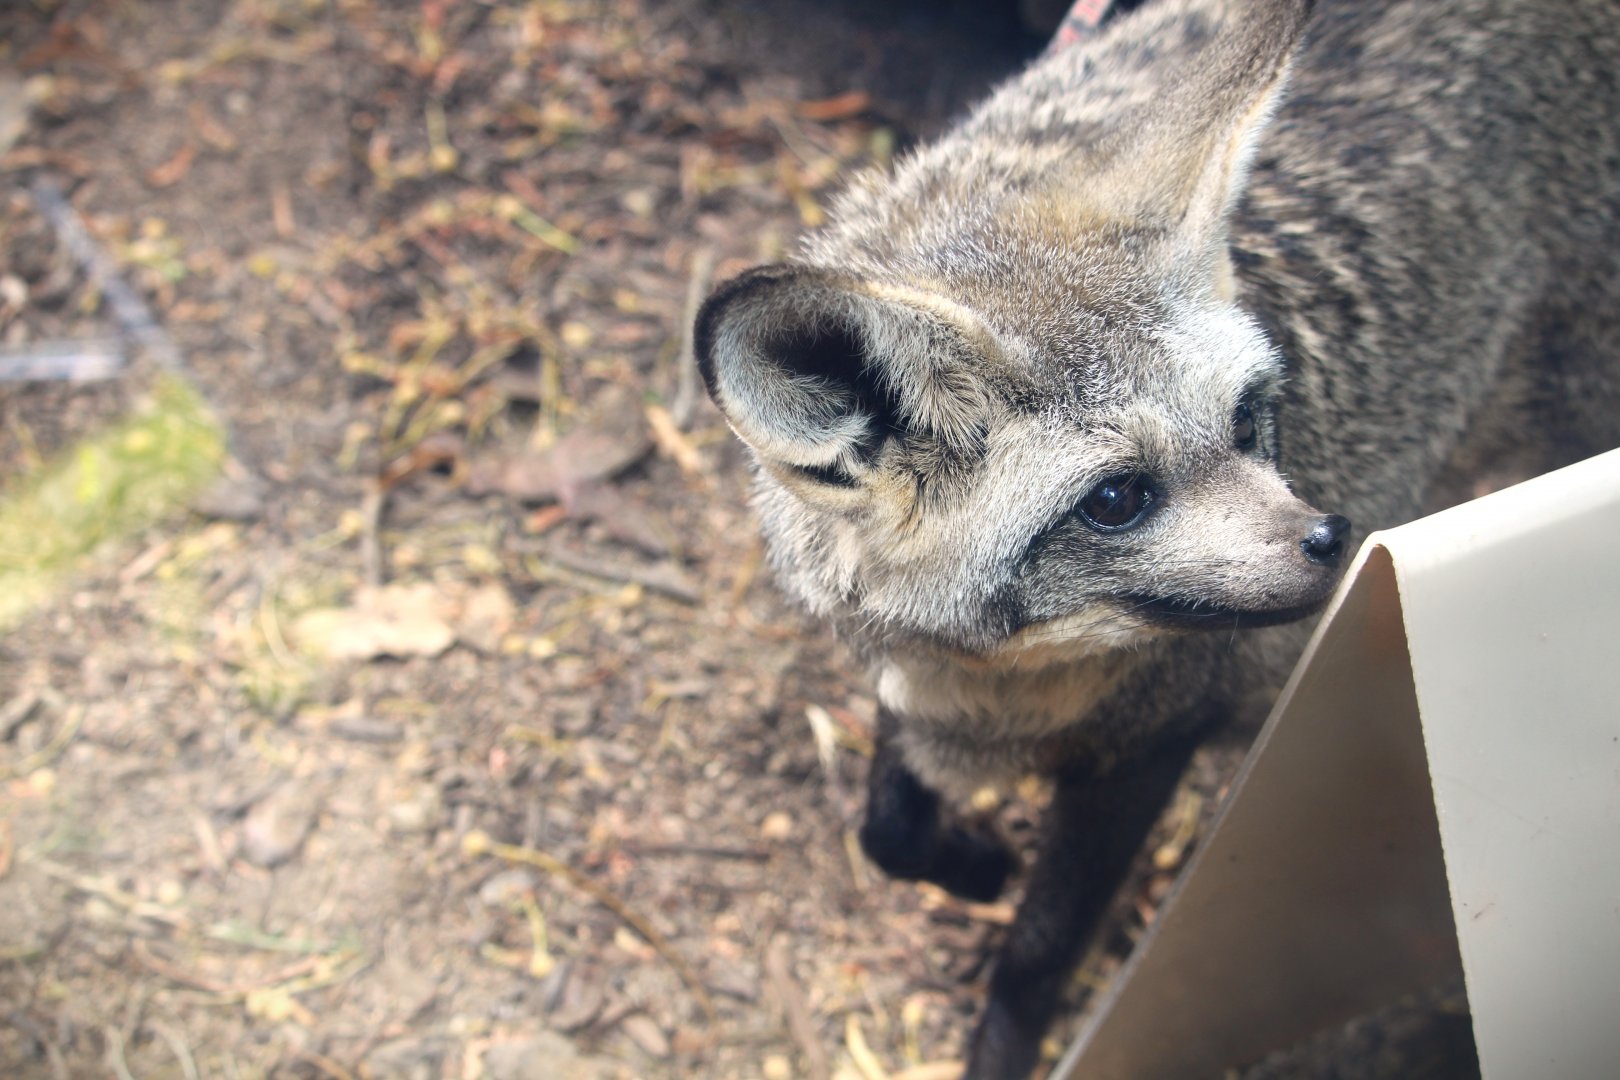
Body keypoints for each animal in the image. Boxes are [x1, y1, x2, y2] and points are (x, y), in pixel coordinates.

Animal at [695, 1, 1620, 1077]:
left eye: (1247, 419)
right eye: (1117, 498)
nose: (1331, 537)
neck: (1014, 685)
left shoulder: (1152, 744)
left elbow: (1036, 953)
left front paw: (1003, 1036)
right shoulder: (910, 674)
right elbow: (889, 829)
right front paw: (970, 862)